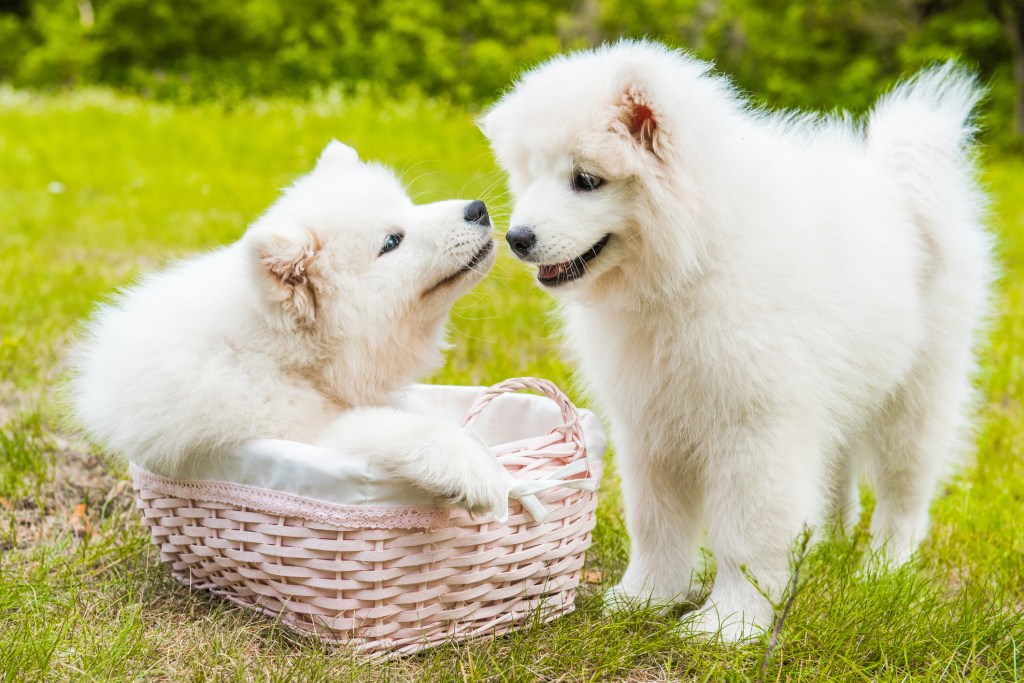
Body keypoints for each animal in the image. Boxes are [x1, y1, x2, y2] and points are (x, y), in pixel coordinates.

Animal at [69, 140, 507, 518]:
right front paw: (472, 467)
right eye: (391, 242)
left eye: (410, 206)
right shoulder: (293, 430)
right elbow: (387, 427)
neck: (291, 357)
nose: (477, 209)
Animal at [483, 41, 995, 643]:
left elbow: (745, 535)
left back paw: (882, 569)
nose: (516, 238)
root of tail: (897, 178)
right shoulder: (651, 423)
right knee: (836, 472)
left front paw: (729, 624)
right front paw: (646, 598)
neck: (692, 260)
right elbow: (656, 523)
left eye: (586, 180)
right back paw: (829, 546)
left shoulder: (754, 427)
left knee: (904, 494)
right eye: (531, 174)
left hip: (916, 394)